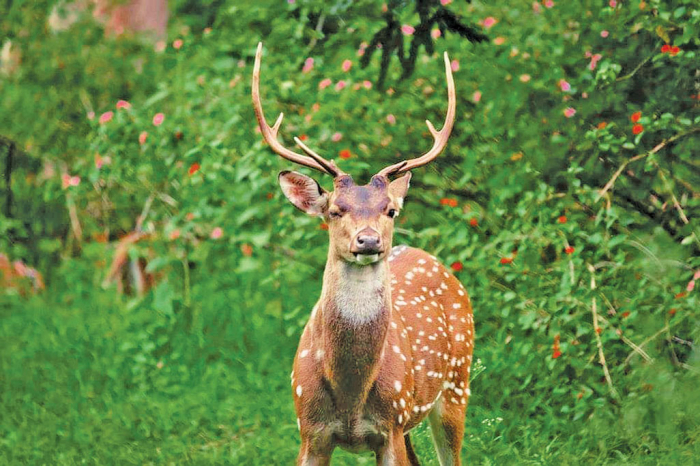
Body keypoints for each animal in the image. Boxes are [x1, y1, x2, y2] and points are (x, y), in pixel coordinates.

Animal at [253, 41, 476, 464]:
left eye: (390, 210)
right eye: (335, 210)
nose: (369, 241)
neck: (350, 394)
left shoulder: (391, 425)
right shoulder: (308, 429)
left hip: (457, 383)